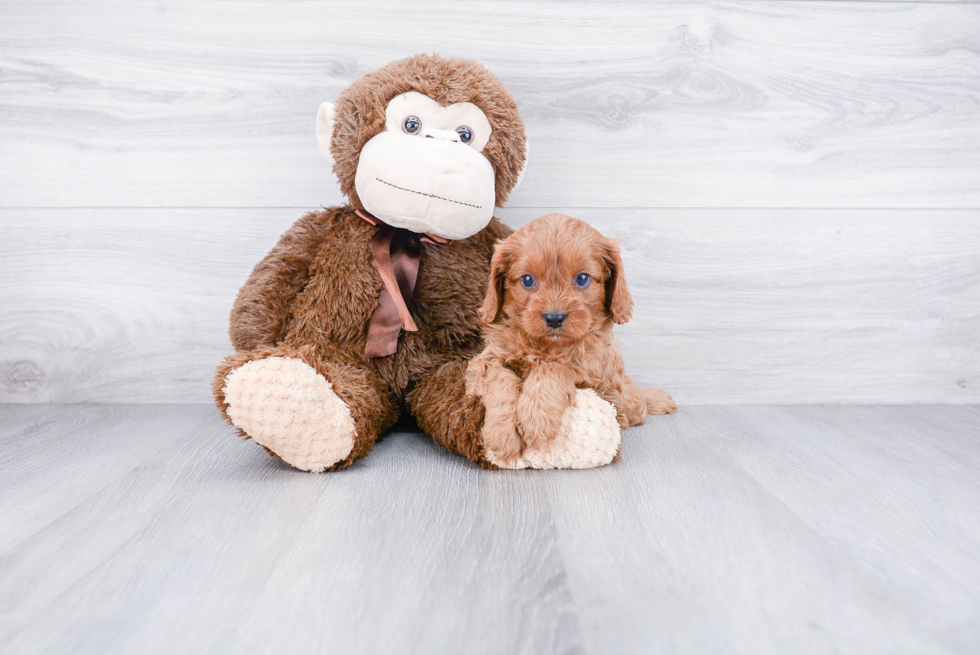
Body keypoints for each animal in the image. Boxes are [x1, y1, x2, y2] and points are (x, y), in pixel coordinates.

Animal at [468, 213, 672, 464]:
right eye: (527, 280)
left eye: (582, 279)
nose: (554, 318)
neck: (546, 347)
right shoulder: (484, 362)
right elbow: (500, 378)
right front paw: (501, 434)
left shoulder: (601, 382)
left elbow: (557, 366)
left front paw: (536, 415)